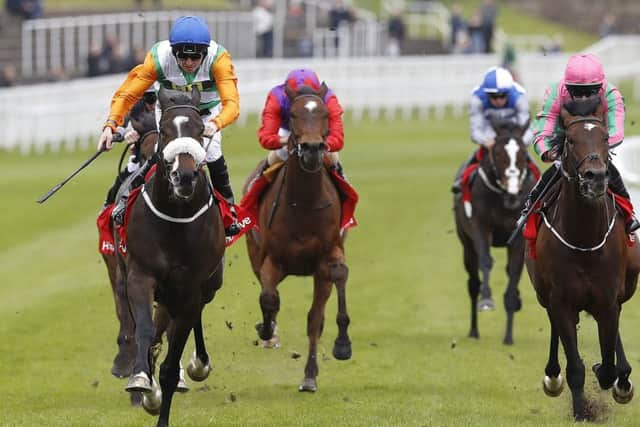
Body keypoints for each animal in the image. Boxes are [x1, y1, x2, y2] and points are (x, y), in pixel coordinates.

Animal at [116, 85, 226, 426]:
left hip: (207, 285)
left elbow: (170, 362)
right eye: (165, 130)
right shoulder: (140, 275)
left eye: (199, 130)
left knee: (194, 317)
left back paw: (198, 363)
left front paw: (162, 393)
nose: (185, 177)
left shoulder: (190, 288)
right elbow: (144, 329)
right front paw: (141, 379)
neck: (176, 217)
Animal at [245, 82, 352, 392]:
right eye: (292, 114)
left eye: (326, 114)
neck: (304, 202)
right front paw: (266, 330)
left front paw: (320, 366)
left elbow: (317, 315)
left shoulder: (327, 258)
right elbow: (269, 299)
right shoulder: (271, 260)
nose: (313, 149)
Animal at [452, 118, 536, 346]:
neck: (504, 198)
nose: (513, 193)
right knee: (473, 284)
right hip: (466, 244)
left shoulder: (519, 237)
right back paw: (474, 330)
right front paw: (487, 299)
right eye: (497, 153)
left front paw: (508, 336)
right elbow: (486, 261)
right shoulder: (480, 226)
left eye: (523, 152)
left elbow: (514, 271)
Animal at [524, 98, 640, 422]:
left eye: (605, 138)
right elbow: (575, 366)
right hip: (545, 295)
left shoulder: (607, 299)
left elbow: (609, 362)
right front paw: (581, 411)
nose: (595, 177)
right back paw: (553, 376)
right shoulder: (561, 301)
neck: (585, 240)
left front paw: (614, 376)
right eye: (572, 140)